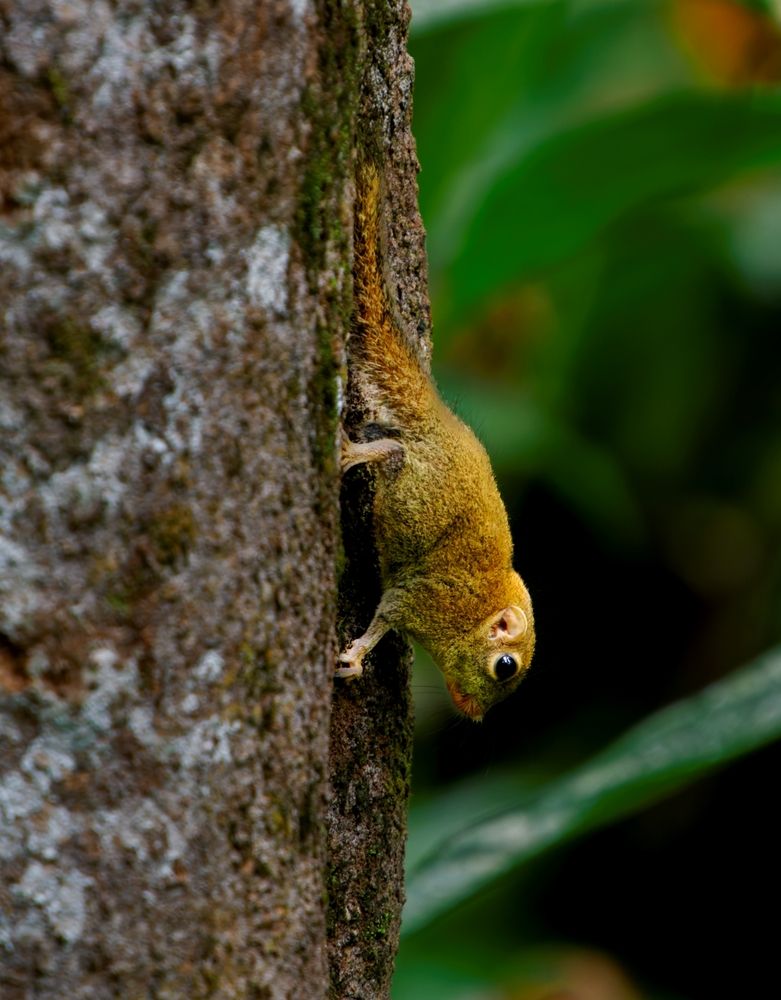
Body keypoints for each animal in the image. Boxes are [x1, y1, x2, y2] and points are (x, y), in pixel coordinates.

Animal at [336, 163, 535, 721]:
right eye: (505, 667)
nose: (472, 714)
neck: (474, 610)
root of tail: (440, 421)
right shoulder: (424, 597)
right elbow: (385, 618)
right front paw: (354, 658)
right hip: (417, 484)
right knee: (393, 451)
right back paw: (350, 453)